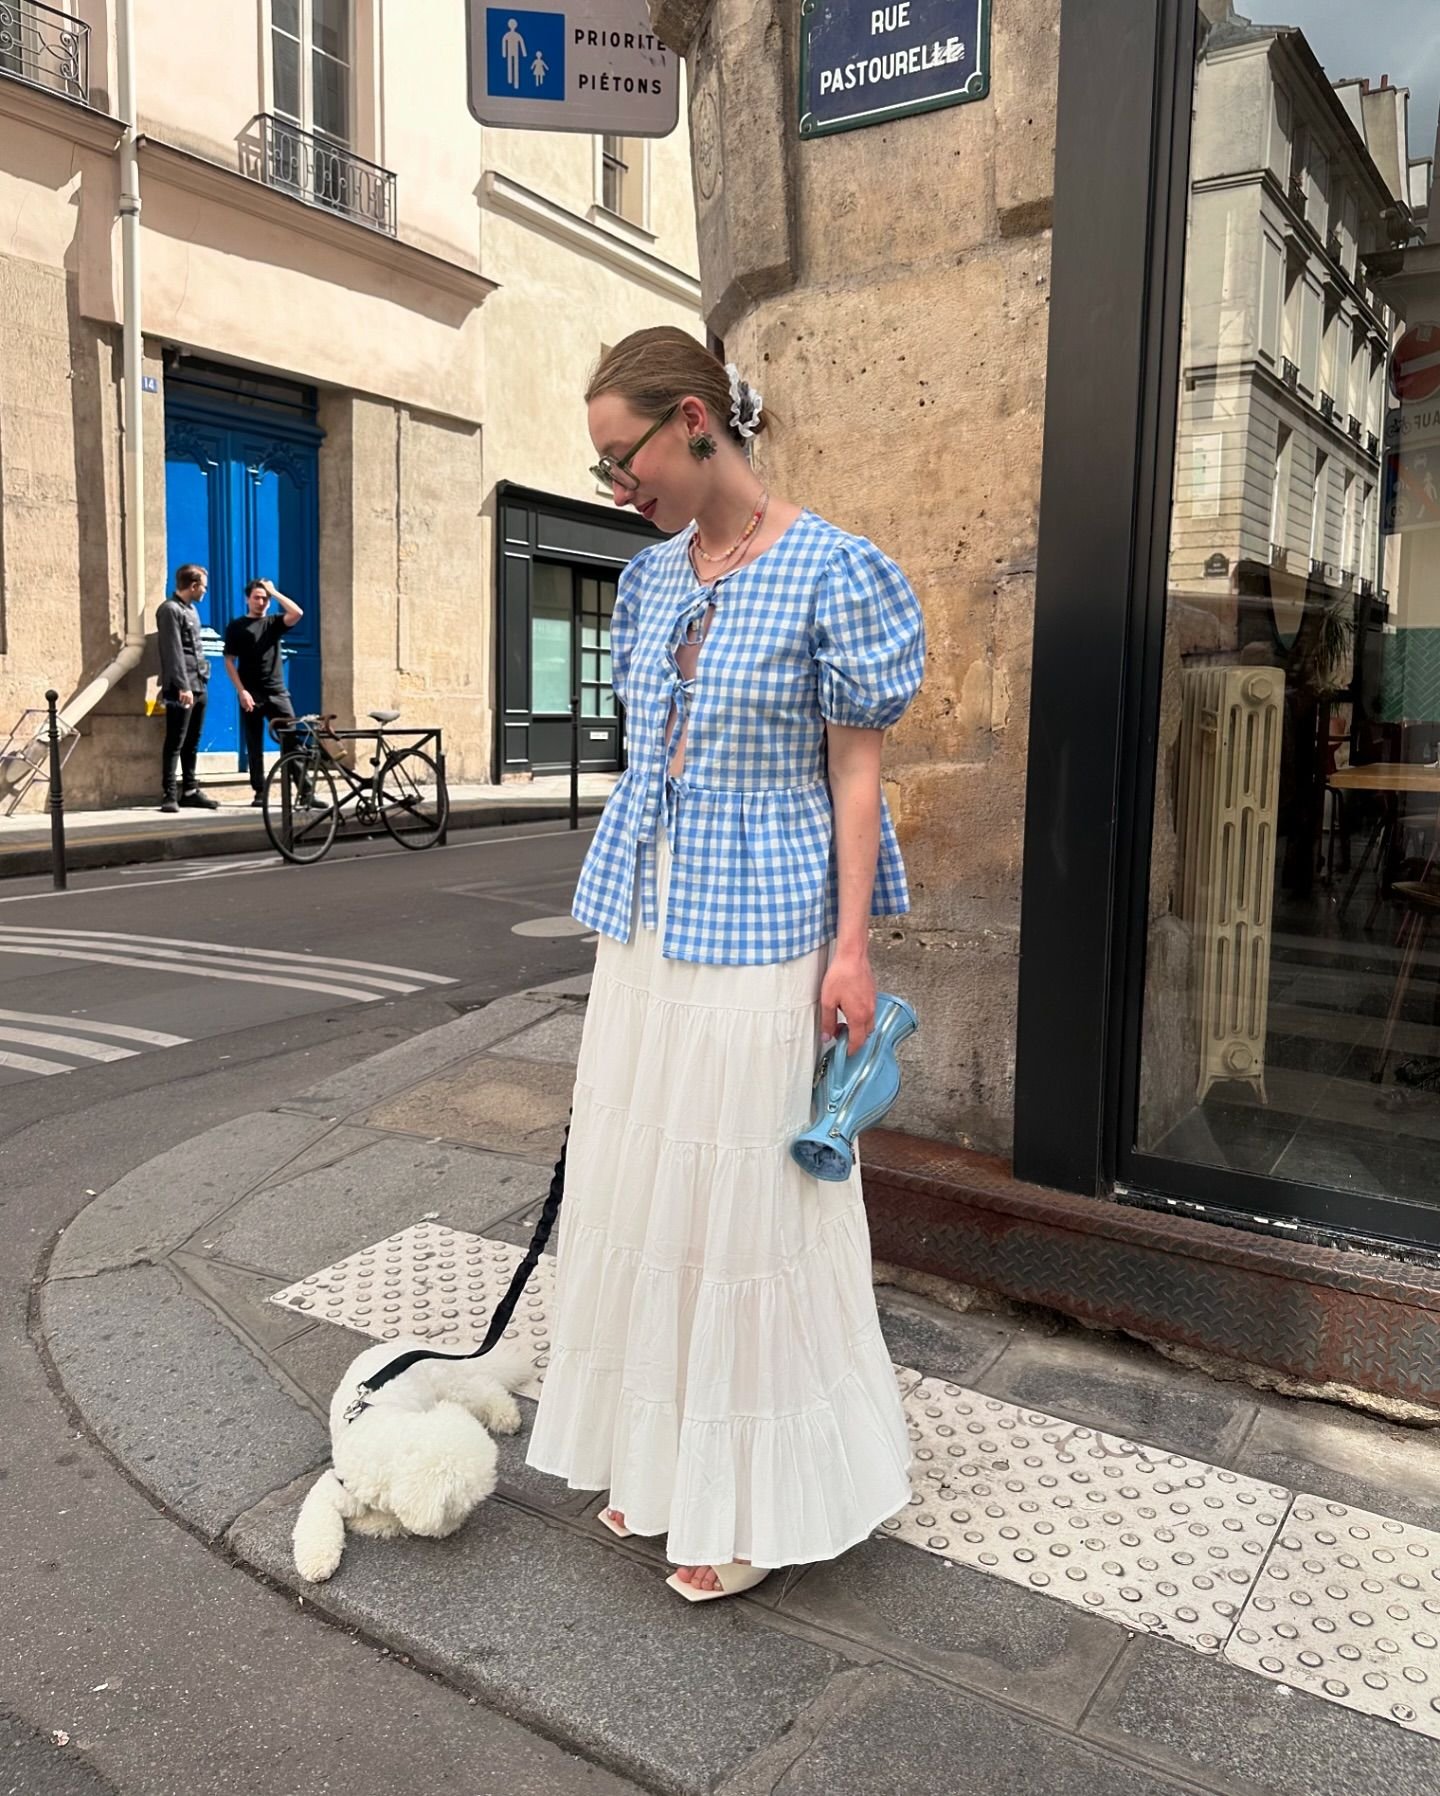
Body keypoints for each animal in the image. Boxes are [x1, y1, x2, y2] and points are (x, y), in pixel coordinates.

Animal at [289, 1329, 531, 1580]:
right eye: (453, 1510)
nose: (454, 1527)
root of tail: (408, 1344)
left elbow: (388, 1520)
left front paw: (367, 1521)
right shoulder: (334, 1486)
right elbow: (317, 1519)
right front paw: (316, 1562)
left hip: (448, 1386)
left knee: (482, 1388)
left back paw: (505, 1415)